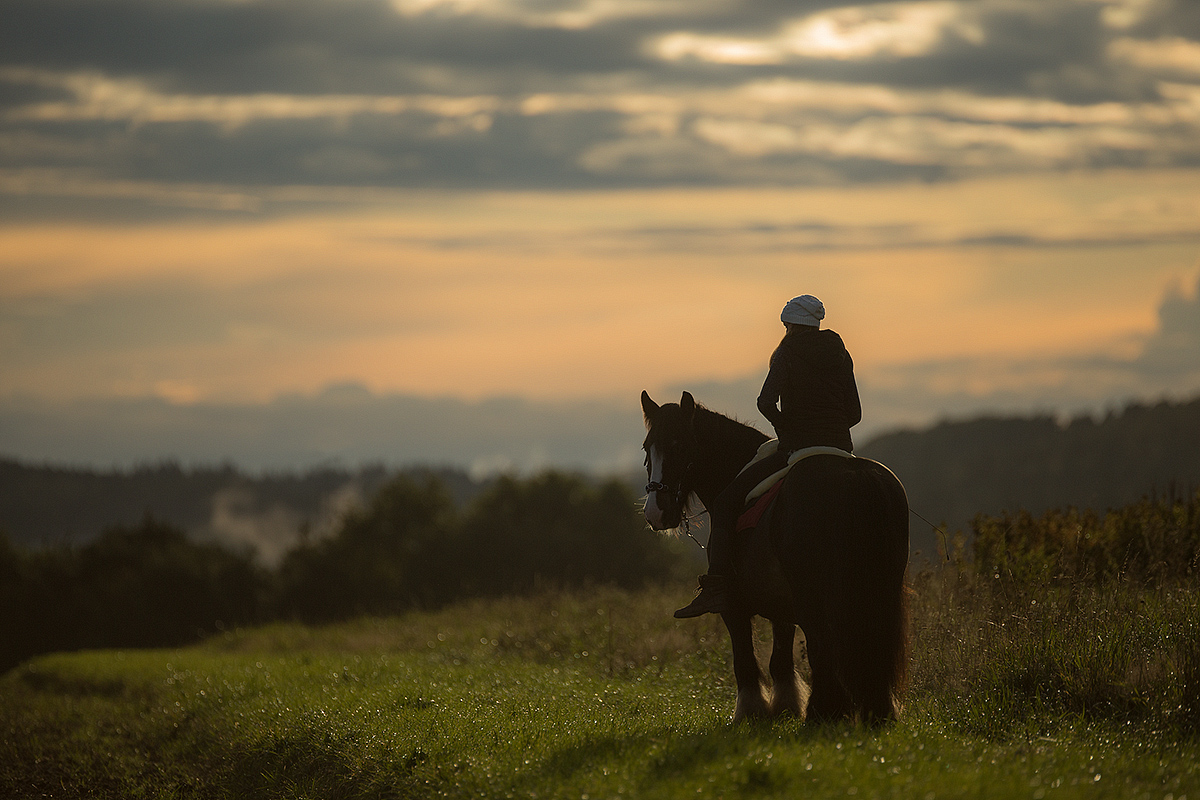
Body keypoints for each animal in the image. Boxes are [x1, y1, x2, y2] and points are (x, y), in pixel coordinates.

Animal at [638, 391, 907, 724]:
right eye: (648, 448)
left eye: (681, 446)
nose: (656, 512)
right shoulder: (781, 603)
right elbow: (780, 657)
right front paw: (786, 704)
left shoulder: (733, 607)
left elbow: (745, 659)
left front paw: (750, 710)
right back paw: (872, 711)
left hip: (815, 597)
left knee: (821, 647)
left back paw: (823, 712)